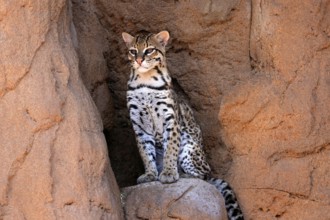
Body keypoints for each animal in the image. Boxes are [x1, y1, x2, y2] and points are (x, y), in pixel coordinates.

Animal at [122, 29, 244, 220]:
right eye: (133, 51)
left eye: (149, 50)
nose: (139, 60)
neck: (145, 80)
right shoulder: (139, 124)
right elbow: (145, 152)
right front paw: (150, 174)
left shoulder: (171, 118)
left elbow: (170, 149)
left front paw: (169, 173)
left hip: (189, 148)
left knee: (203, 175)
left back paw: (184, 174)